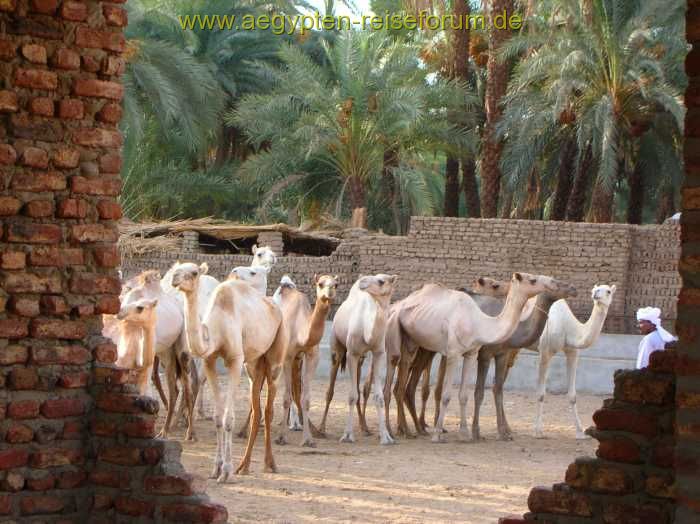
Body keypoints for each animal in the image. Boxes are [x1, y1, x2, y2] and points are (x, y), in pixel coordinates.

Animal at [172, 262, 288, 484]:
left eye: (194, 272)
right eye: (177, 268)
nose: (174, 278)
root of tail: (275, 308)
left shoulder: (235, 360)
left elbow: (228, 419)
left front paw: (226, 471)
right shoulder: (209, 360)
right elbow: (218, 418)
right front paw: (216, 469)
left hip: (276, 356)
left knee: (268, 408)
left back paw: (271, 464)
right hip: (254, 363)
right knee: (257, 406)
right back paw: (245, 466)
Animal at [274, 274, 338, 446]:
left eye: (335, 284)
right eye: (320, 284)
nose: (329, 293)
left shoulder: (311, 356)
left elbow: (306, 398)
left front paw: (308, 439)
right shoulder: (287, 356)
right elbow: (286, 397)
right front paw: (281, 437)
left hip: (298, 360)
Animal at [318, 274, 396, 442]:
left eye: (381, 281)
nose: (362, 281)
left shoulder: (379, 353)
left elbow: (378, 396)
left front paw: (386, 436)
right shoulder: (352, 353)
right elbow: (352, 396)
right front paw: (347, 435)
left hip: (362, 357)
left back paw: (365, 428)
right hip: (337, 348)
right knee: (331, 388)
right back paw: (321, 429)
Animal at [388, 274, 576, 442]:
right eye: (533, 280)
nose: (572, 288)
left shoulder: (495, 354)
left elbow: (492, 390)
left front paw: (499, 432)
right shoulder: (478, 354)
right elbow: (473, 392)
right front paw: (474, 432)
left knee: (411, 385)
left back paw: (414, 428)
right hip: (417, 346)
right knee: (408, 383)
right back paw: (408, 429)